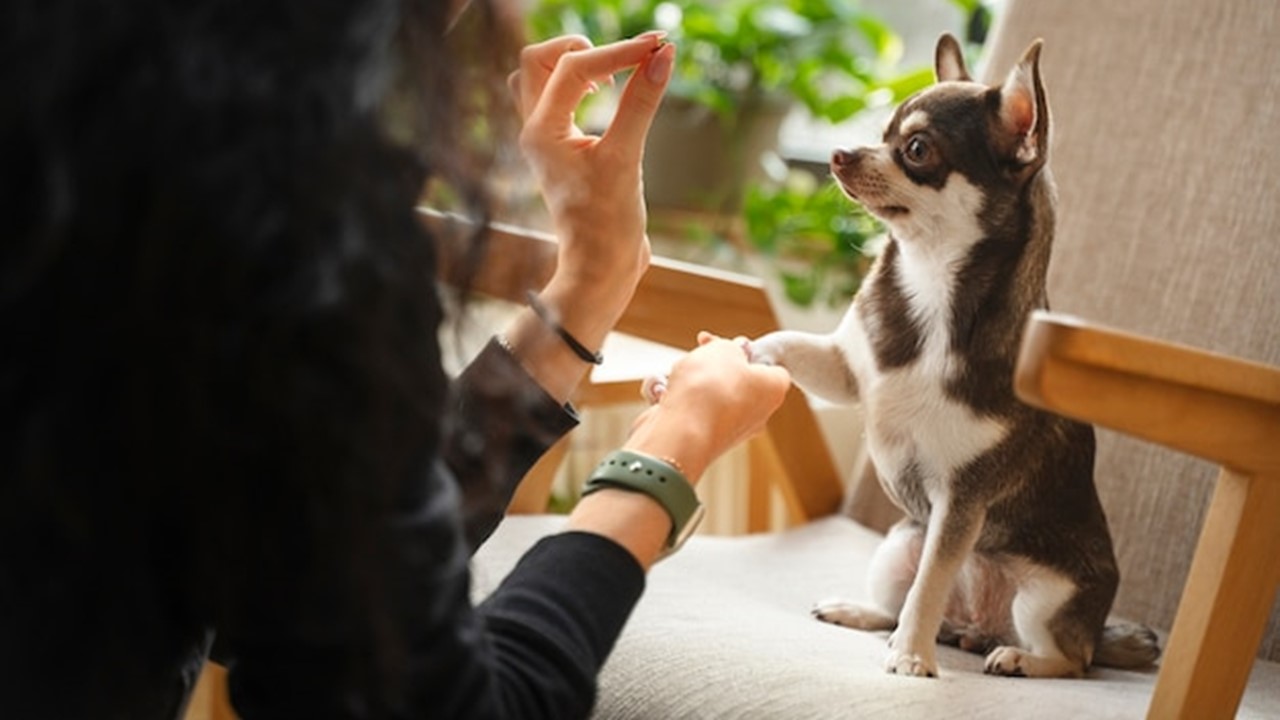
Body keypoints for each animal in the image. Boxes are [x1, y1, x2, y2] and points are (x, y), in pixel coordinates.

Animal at [747, 35, 1162, 671]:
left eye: (916, 150)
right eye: (881, 133)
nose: (840, 154)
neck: (931, 284)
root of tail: (978, 624)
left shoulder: (961, 502)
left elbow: (932, 583)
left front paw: (911, 659)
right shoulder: (846, 371)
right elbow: (793, 346)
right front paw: (748, 352)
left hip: (1044, 597)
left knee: (1071, 659)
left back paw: (1017, 658)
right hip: (900, 543)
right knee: (899, 603)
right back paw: (864, 612)